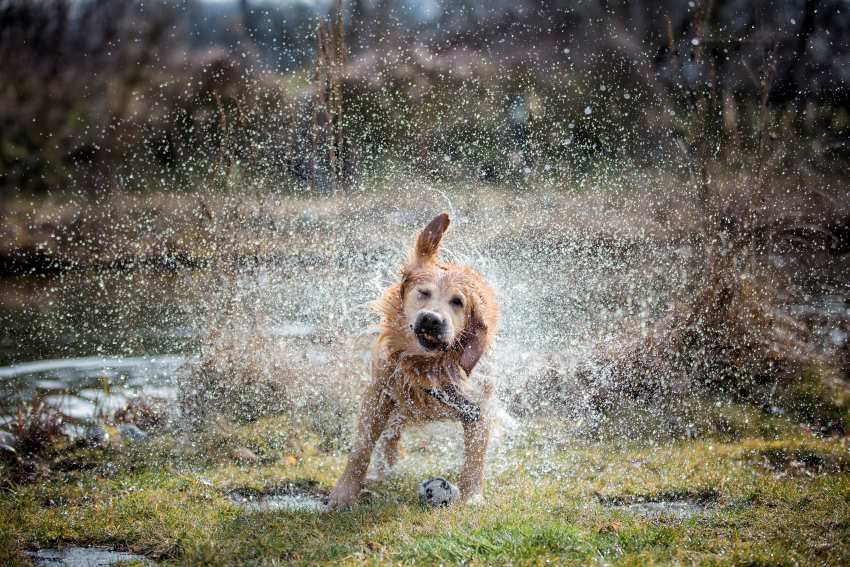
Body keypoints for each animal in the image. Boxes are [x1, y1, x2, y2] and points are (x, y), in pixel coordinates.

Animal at [322, 213, 496, 510]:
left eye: (458, 302)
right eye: (423, 293)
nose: (431, 319)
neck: (425, 365)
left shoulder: (477, 406)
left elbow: (474, 460)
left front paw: (472, 497)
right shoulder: (379, 393)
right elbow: (362, 447)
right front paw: (344, 493)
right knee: (390, 436)